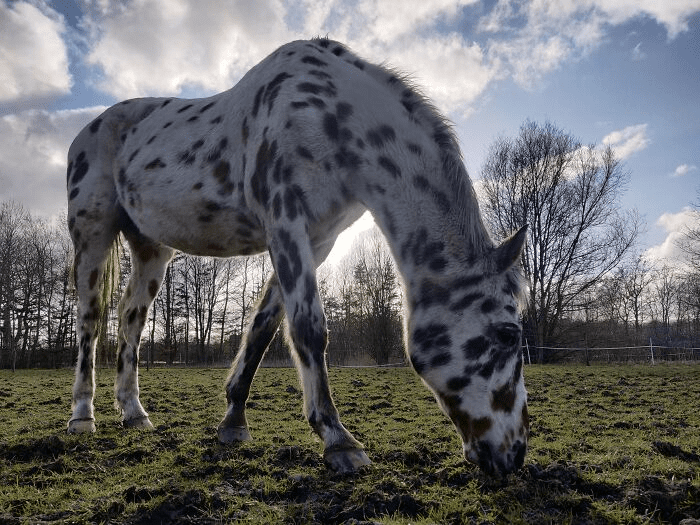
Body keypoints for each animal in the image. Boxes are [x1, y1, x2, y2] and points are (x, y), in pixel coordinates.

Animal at [65, 36, 528, 476]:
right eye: (508, 333)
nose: (515, 454)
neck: (333, 119)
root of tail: (89, 130)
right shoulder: (286, 225)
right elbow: (308, 328)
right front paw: (338, 440)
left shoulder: (318, 241)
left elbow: (264, 327)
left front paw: (233, 421)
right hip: (93, 237)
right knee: (89, 320)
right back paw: (82, 418)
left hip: (152, 250)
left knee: (130, 319)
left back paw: (133, 413)